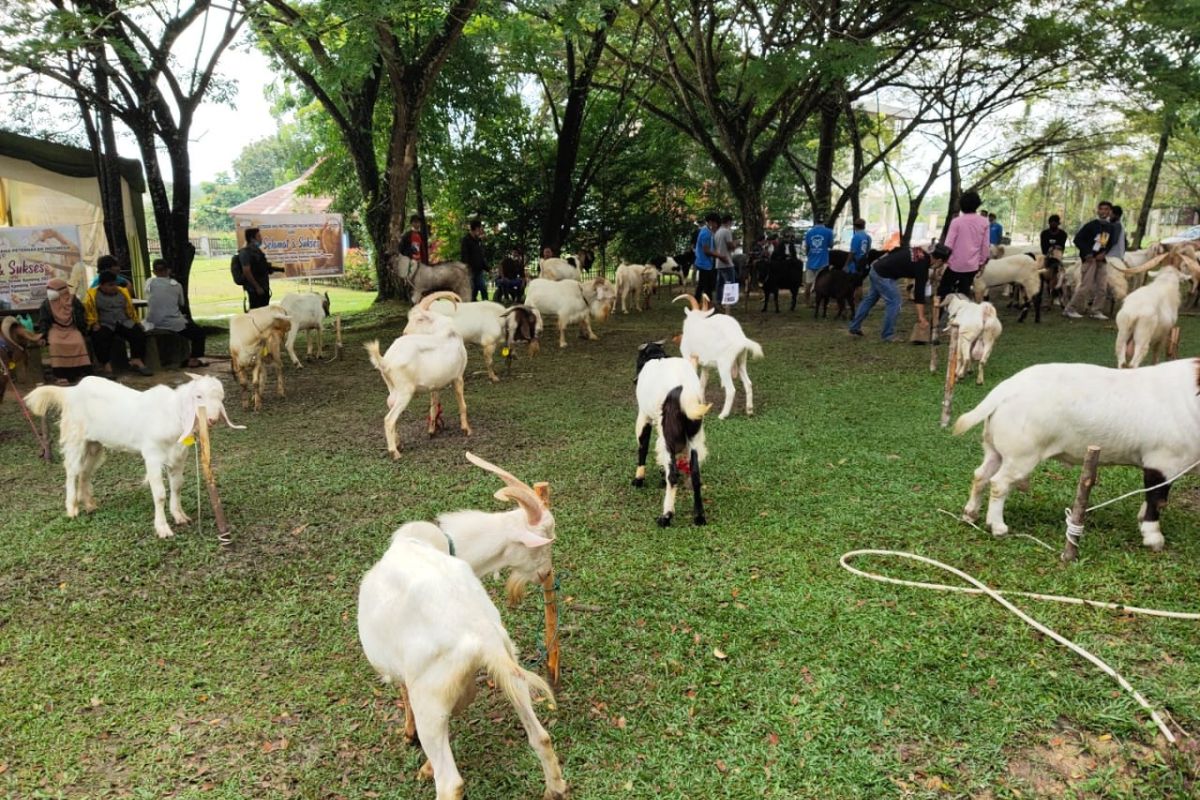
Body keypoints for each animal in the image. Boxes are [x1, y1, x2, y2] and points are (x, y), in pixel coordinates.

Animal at [26, 374, 243, 537]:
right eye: (198, 396)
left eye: (221, 397)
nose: (213, 419)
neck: (172, 415)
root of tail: (71, 391)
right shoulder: (153, 455)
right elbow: (160, 494)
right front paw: (163, 529)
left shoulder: (179, 456)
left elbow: (177, 486)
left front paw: (180, 516)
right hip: (75, 437)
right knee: (72, 471)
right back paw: (72, 509)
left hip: (94, 444)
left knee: (85, 472)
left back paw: (89, 504)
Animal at [362, 293, 465, 460]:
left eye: (420, 319)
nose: (405, 332)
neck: (446, 331)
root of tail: (385, 361)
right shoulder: (458, 376)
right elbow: (462, 403)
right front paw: (467, 429)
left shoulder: (434, 385)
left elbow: (434, 405)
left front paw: (432, 431)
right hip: (405, 391)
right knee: (389, 419)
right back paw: (394, 452)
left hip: (393, 390)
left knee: (391, 408)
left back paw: (399, 443)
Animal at [628, 343, 710, 525]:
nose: (634, 380)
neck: (657, 356)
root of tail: (683, 391)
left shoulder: (644, 417)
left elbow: (642, 446)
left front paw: (639, 479)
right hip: (693, 437)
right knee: (695, 473)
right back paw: (699, 516)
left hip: (667, 436)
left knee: (672, 476)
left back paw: (666, 516)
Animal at [955, 362, 1200, 554]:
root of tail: (1004, 390)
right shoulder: (1162, 460)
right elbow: (1157, 498)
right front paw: (1154, 539)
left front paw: (1141, 521)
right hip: (1021, 452)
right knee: (999, 483)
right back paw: (998, 527)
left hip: (995, 447)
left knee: (981, 475)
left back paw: (970, 514)